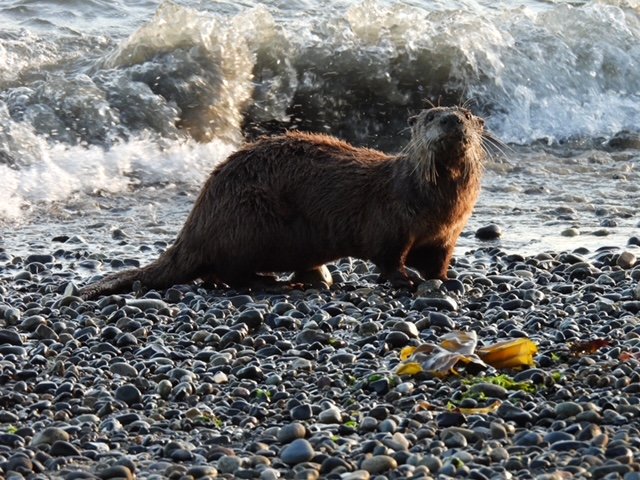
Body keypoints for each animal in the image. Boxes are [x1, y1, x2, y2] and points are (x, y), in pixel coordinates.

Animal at [80, 106, 488, 299]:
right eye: (431, 116)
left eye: (467, 114)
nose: (452, 120)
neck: (436, 208)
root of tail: (194, 225)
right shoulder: (389, 225)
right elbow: (388, 259)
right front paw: (404, 279)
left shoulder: (447, 236)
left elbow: (438, 262)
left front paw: (447, 280)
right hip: (248, 219)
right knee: (227, 272)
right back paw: (277, 283)